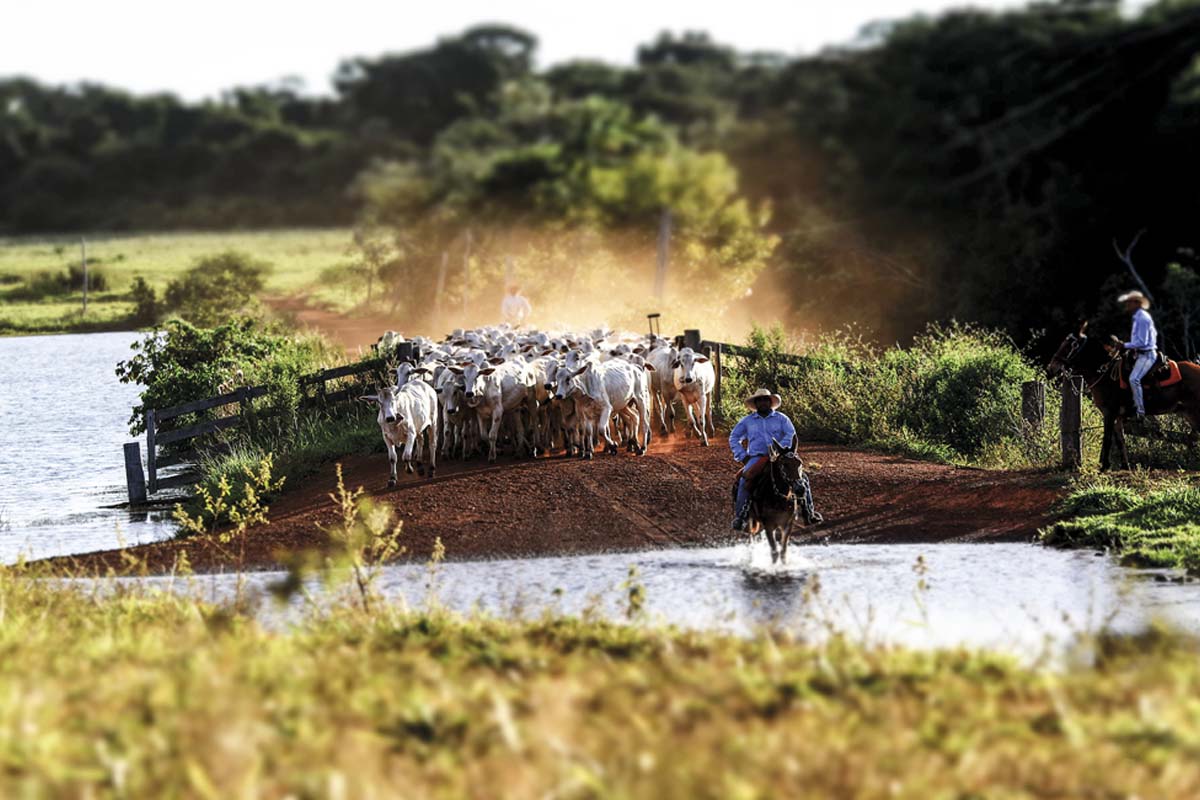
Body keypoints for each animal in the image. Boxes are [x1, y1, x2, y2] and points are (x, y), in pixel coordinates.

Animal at [1041, 319, 1200, 470]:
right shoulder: (1117, 417)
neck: (1104, 375)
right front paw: (1125, 466)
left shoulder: (1109, 413)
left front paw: (1104, 466)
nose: (1050, 369)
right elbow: (1120, 440)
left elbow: (1107, 439)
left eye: (1069, 345)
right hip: (1189, 415)